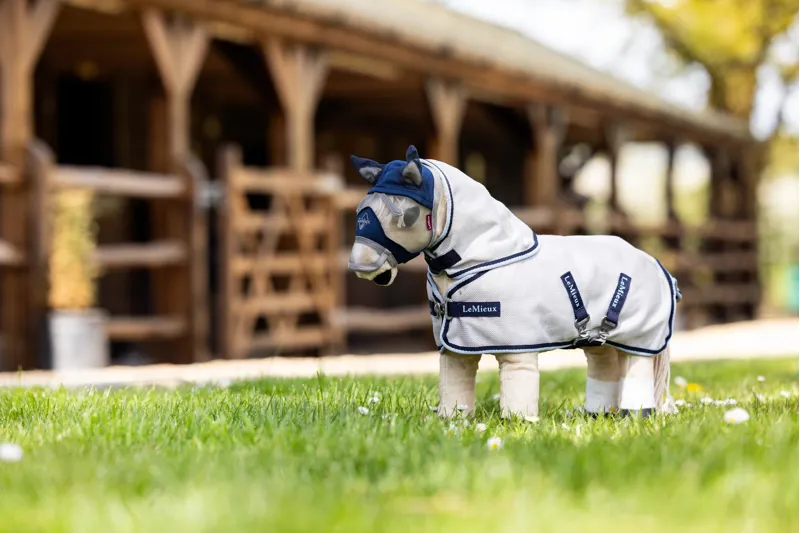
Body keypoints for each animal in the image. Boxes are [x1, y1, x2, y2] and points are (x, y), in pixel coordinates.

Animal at [347, 145, 679, 419]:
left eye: (407, 215)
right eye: (361, 211)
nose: (361, 266)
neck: (486, 259)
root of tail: (657, 264)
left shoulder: (518, 349)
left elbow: (518, 389)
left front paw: (518, 424)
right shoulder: (455, 347)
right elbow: (455, 383)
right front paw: (452, 419)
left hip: (639, 339)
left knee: (637, 371)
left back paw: (634, 415)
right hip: (598, 340)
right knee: (604, 366)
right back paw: (597, 414)